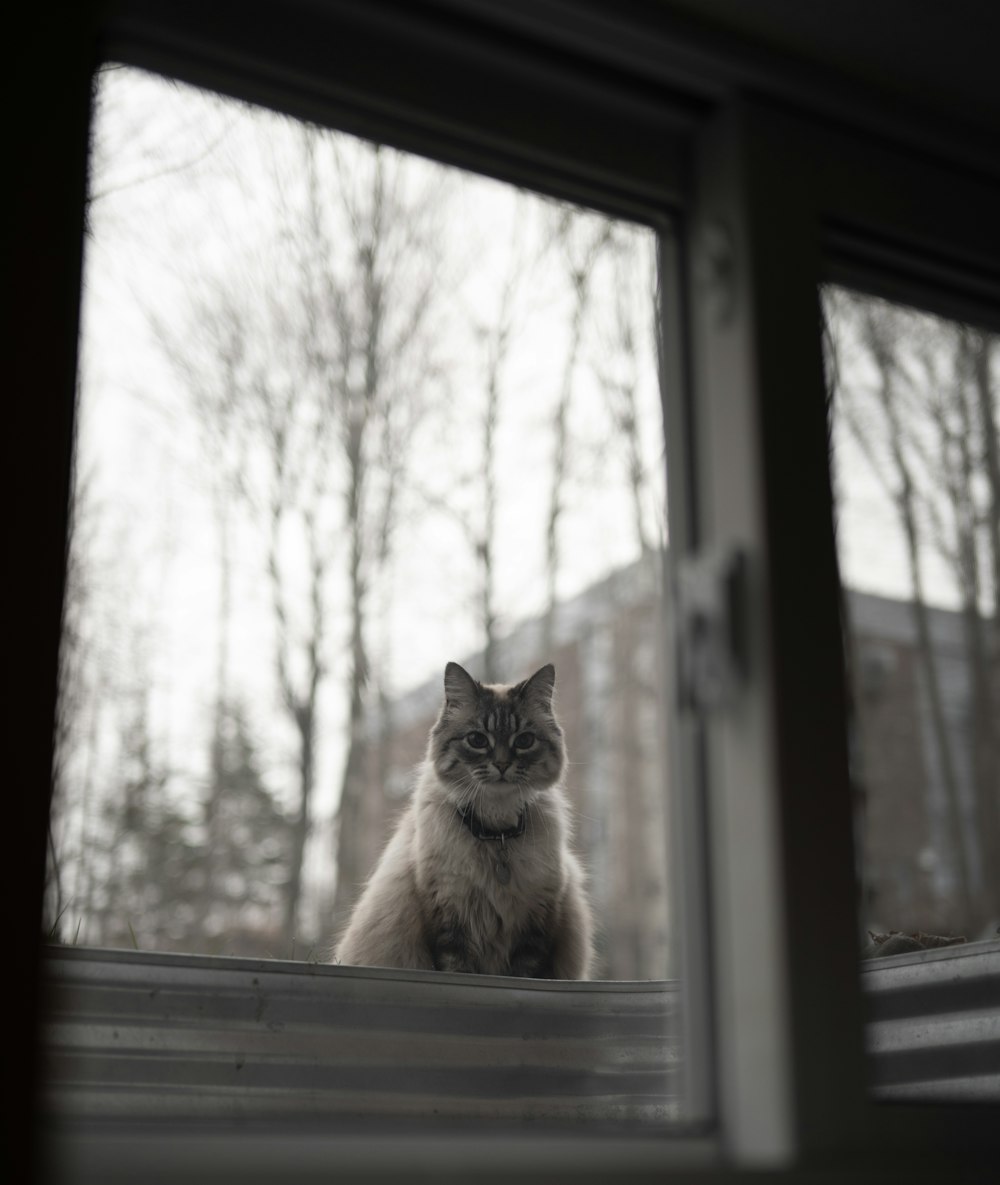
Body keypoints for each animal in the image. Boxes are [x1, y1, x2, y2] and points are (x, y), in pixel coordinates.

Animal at [336, 658, 594, 981]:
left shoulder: (534, 922)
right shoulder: (449, 916)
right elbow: (458, 968)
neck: (496, 833)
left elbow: (522, 975)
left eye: (524, 741)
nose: (502, 765)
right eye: (477, 740)